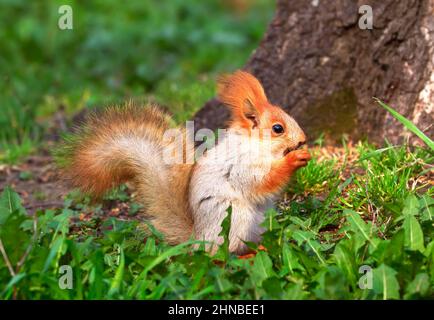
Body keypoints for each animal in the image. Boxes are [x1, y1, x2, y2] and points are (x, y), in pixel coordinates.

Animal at [59, 70, 310, 255]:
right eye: (278, 128)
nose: (303, 139)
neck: (257, 144)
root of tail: (197, 238)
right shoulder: (241, 165)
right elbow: (258, 182)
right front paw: (294, 159)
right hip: (233, 217)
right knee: (219, 254)